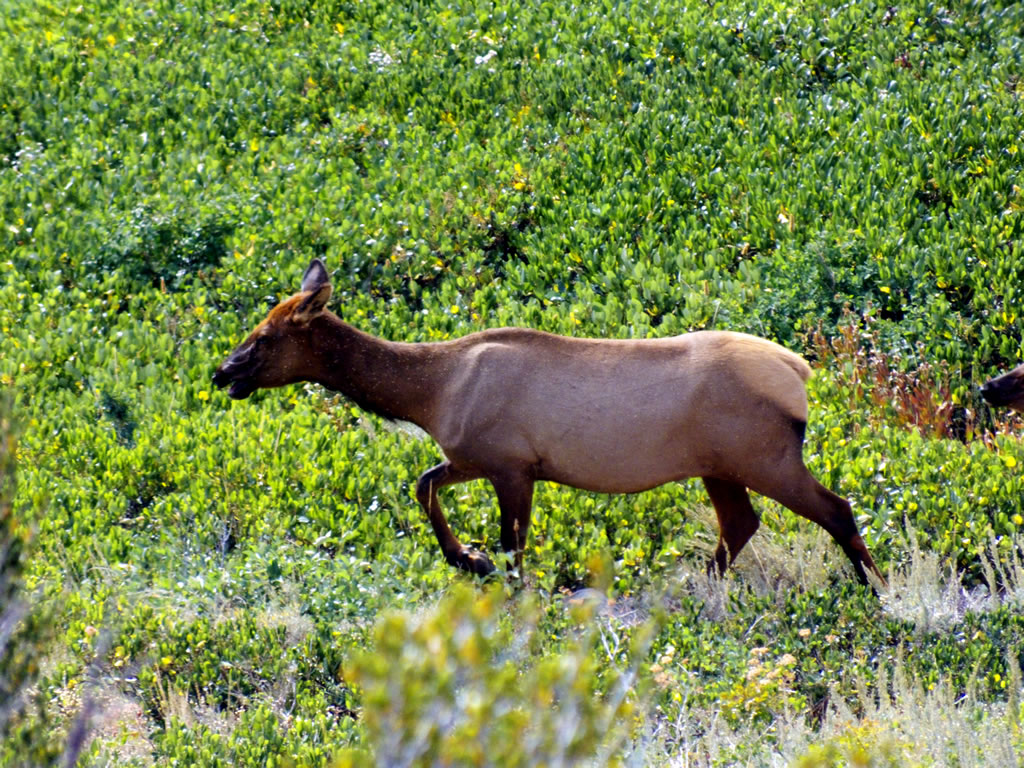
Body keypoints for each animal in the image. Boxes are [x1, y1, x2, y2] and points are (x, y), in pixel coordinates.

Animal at [212, 258, 885, 587]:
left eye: (265, 336)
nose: (222, 372)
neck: (428, 393)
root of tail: (801, 374)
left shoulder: (511, 466)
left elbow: (513, 544)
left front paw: (487, 568)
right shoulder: (478, 459)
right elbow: (425, 484)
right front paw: (468, 558)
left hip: (765, 456)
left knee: (837, 508)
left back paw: (878, 591)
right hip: (720, 466)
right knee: (741, 525)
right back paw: (691, 590)